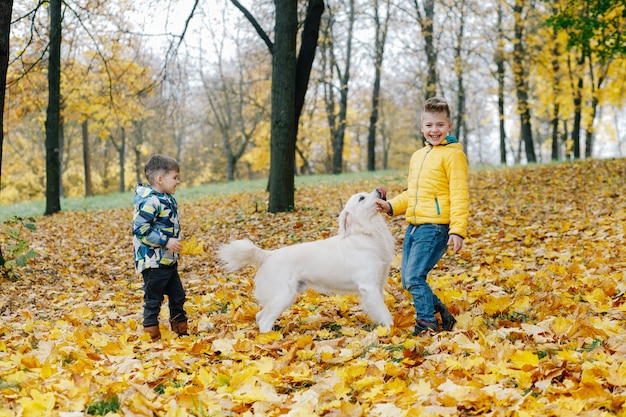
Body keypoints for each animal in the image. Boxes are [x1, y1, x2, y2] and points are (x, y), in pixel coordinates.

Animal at [217, 188, 392, 332]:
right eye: (362, 198)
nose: (379, 190)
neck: (365, 233)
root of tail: (268, 255)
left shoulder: (377, 285)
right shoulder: (369, 286)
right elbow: (385, 313)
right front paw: (391, 331)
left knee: (260, 316)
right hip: (283, 296)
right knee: (264, 322)